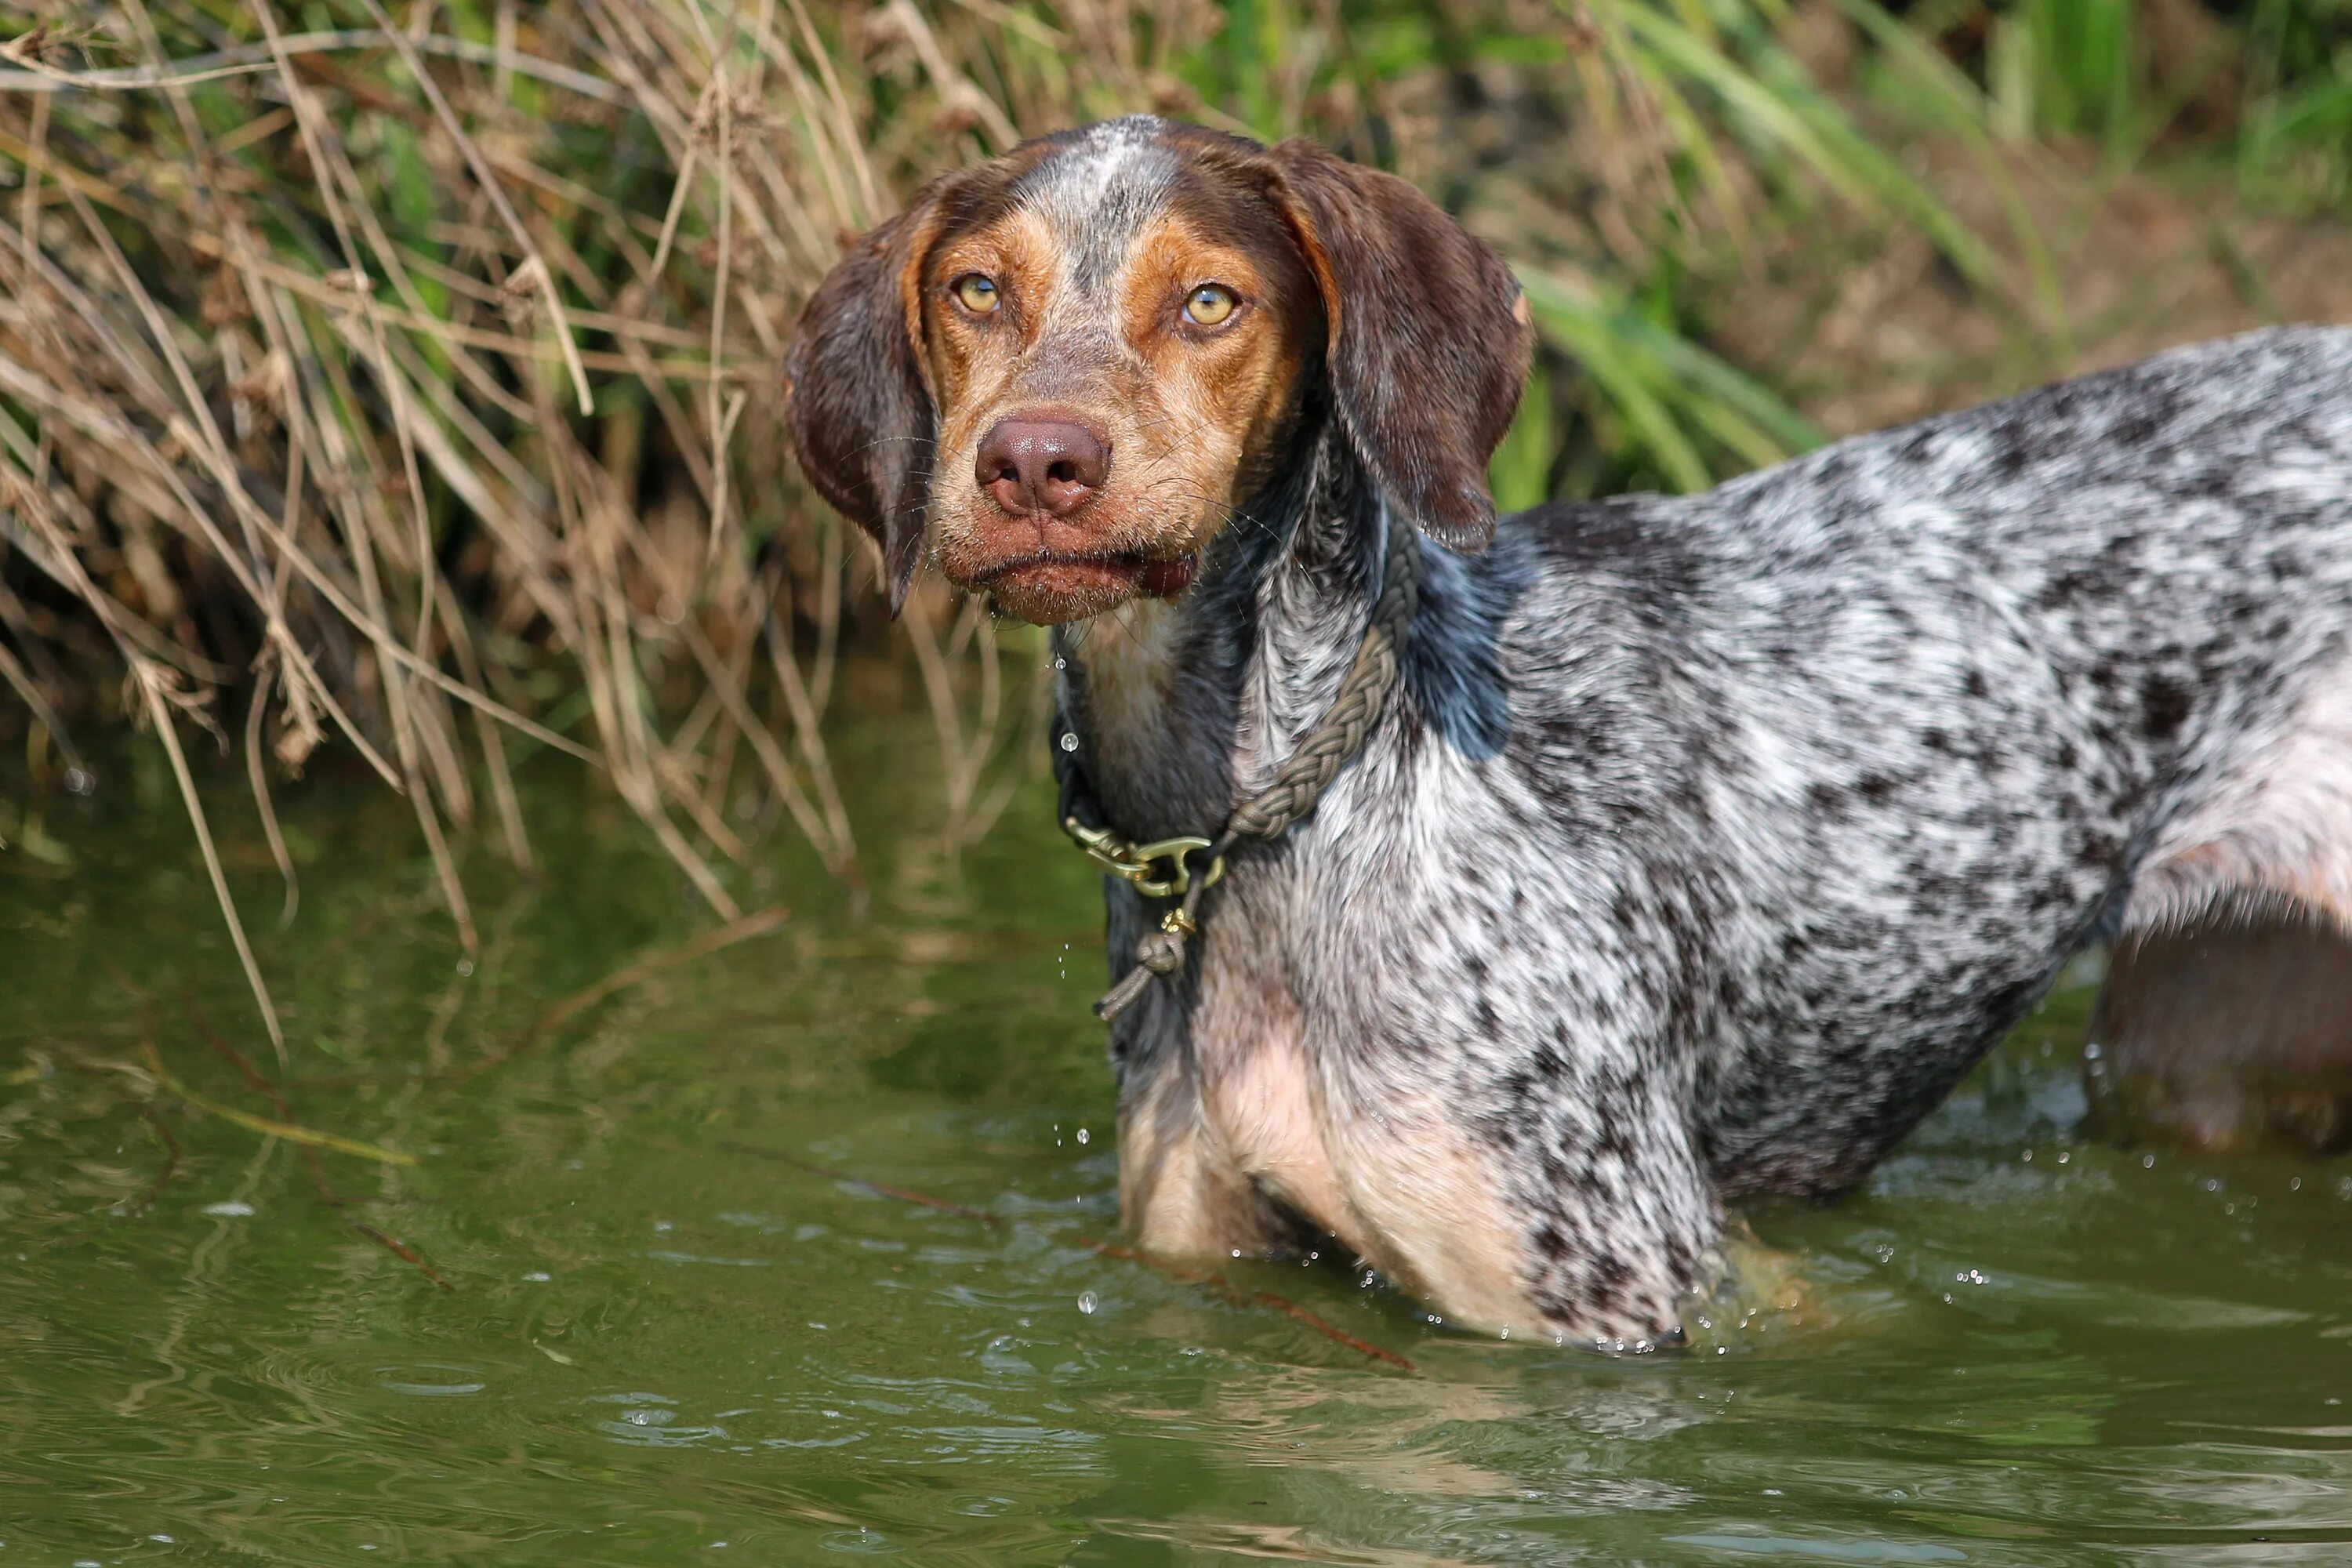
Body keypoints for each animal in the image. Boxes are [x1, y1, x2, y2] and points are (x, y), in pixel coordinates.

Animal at [786, 119, 2352, 1354]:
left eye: (1212, 302)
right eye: (978, 290)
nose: (1036, 462)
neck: (1286, 805)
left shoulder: (1637, 1293)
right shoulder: (1206, 1254)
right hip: (2206, 1052)